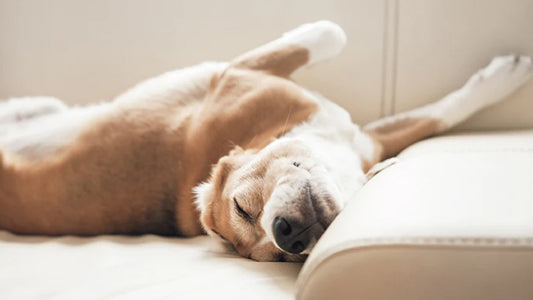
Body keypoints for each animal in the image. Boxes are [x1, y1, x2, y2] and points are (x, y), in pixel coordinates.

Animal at [0, 21, 528, 262]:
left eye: (241, 206)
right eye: (276, 255)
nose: (286, 234)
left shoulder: (362, 138)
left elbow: (434, 115)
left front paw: (502, 79)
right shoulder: (239, 73)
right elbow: (328, 35)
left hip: (34, 104)